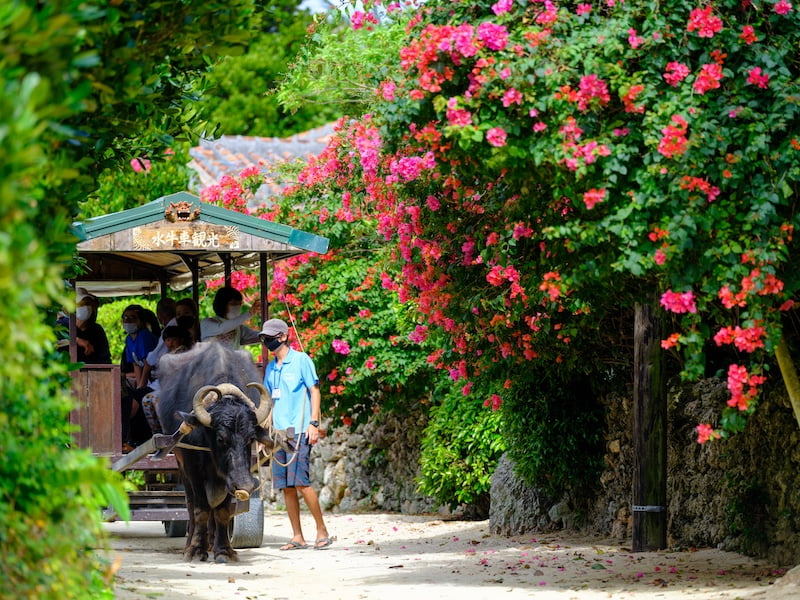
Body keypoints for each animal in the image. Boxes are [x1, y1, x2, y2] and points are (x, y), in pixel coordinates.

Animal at [156, 342, 276, 564]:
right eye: (221, 438)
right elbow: (201, 508)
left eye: (250, 438)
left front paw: (224, 550)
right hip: (180, 463)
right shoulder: (193, 465)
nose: (246, 484)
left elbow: (221, 510)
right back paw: (191, 544)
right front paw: (196, 550)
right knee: (190, 503)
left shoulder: (228, 477)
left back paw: (212, 543)